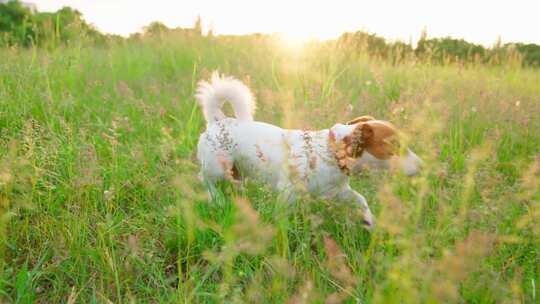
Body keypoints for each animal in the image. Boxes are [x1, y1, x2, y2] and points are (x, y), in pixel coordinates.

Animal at [194, 72, 422, 228]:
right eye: (397, 146)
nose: (422, 166)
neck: (332, 152)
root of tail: (219, 120)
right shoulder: (288, 192)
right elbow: (280, 216)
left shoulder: (338, 192)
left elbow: (360, 199)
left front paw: (369, 220)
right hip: (217, 167)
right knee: (206, 180)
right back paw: (217, 200)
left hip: (236, 171)